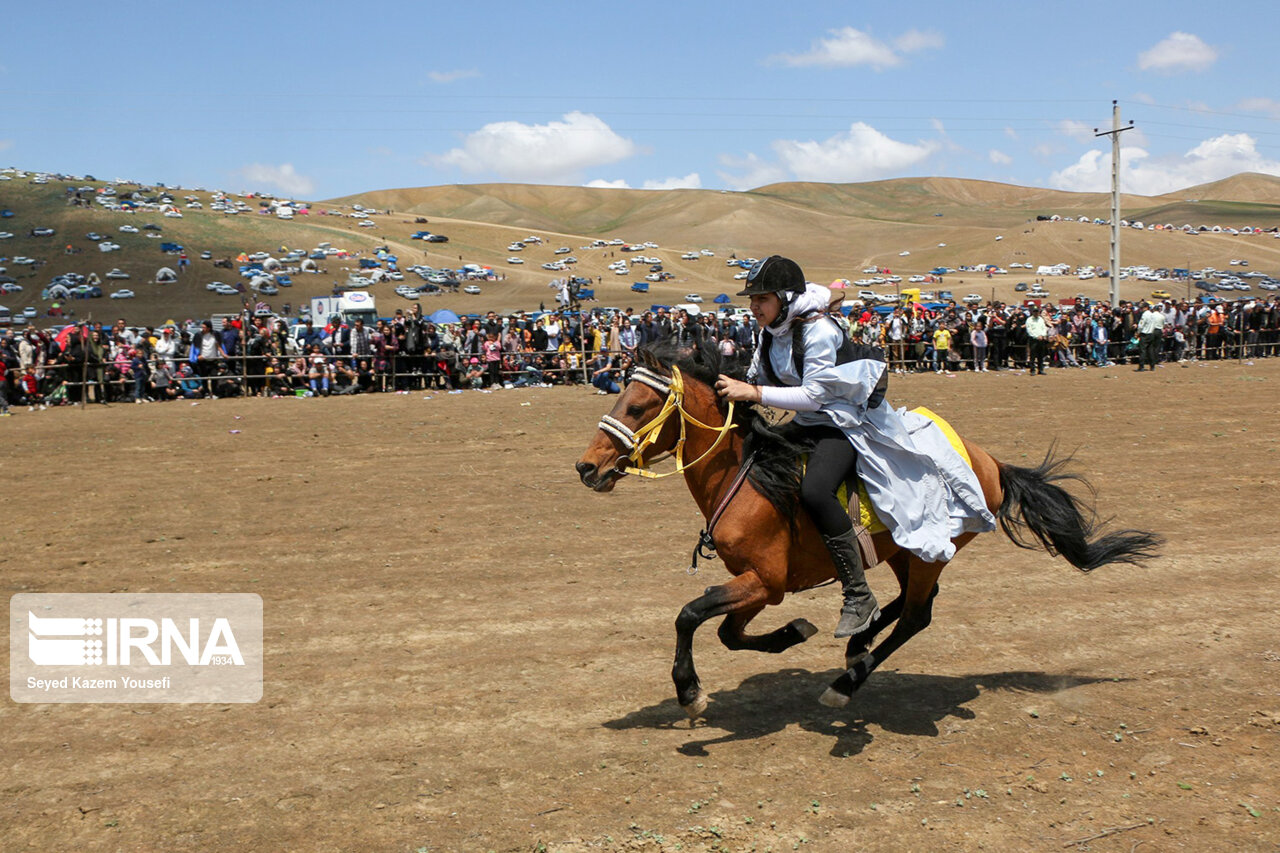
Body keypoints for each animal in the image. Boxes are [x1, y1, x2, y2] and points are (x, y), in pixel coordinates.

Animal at [578, 335, 1162, 712]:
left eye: (638, 406)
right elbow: (727, 632)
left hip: (928, 549)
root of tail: (991, 462)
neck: (747, 479)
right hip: (906, 551)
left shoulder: (765, 581)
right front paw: (794, 633)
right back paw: (858, 639)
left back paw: (848, 679)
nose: (587, 467)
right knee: (906, 604)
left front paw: (688, 689)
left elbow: (691, 614)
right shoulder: (757, 585)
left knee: (917, 617)